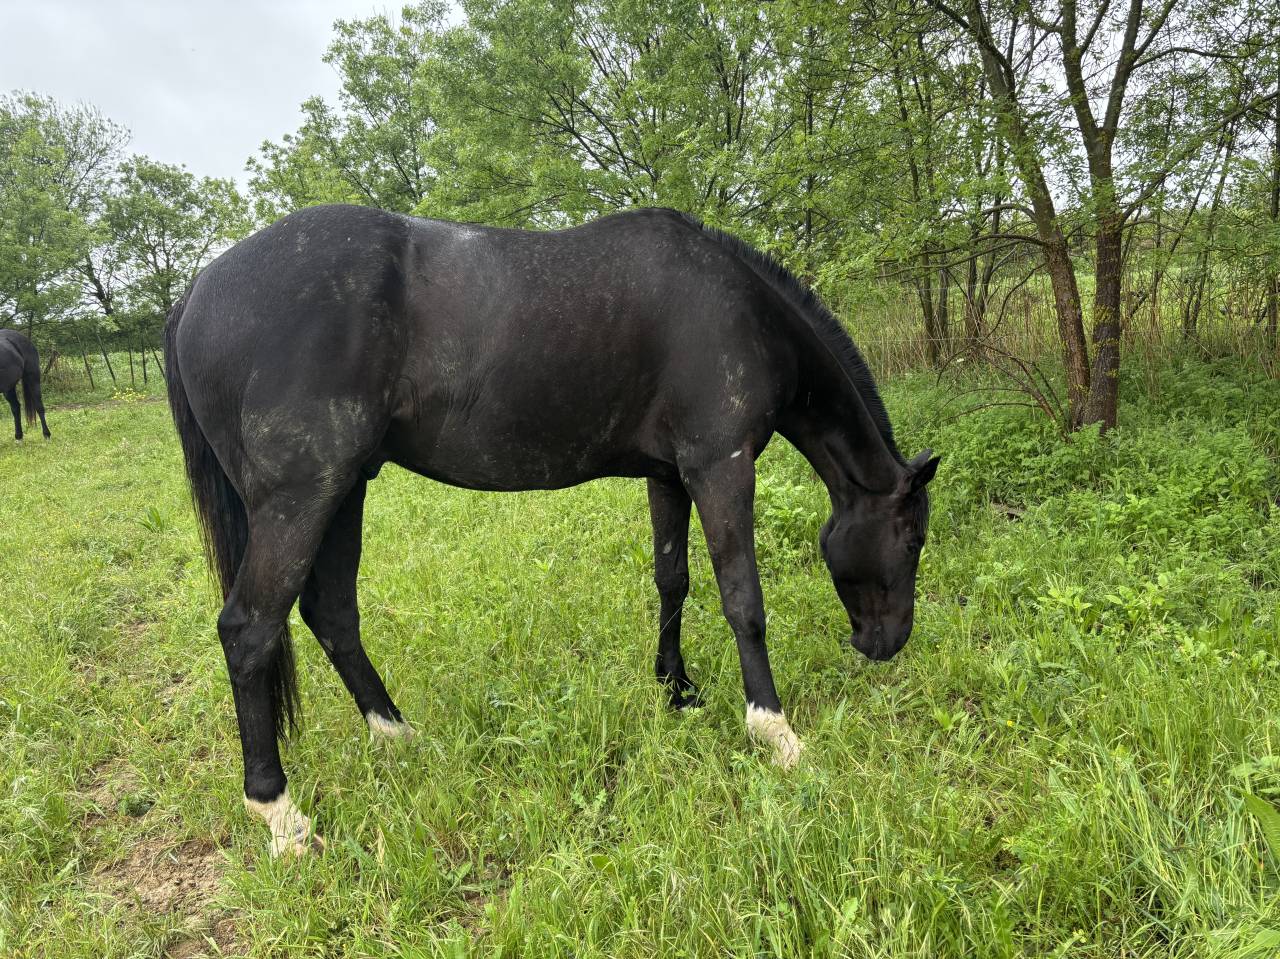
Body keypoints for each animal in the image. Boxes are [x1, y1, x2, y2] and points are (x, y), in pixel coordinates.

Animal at [164, 204, 939, 856]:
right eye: (912, 539)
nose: (885, 643)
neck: (737, 308)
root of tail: (199, 288)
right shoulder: (720, 467)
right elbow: (742, 600)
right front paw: (774, 731)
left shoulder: (670, 475)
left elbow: (673, 580)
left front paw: (677, 690)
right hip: (303, 498)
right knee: (250, 630)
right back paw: (282, 815)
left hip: (344, 489)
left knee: (331, 614)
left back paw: (398, 736)